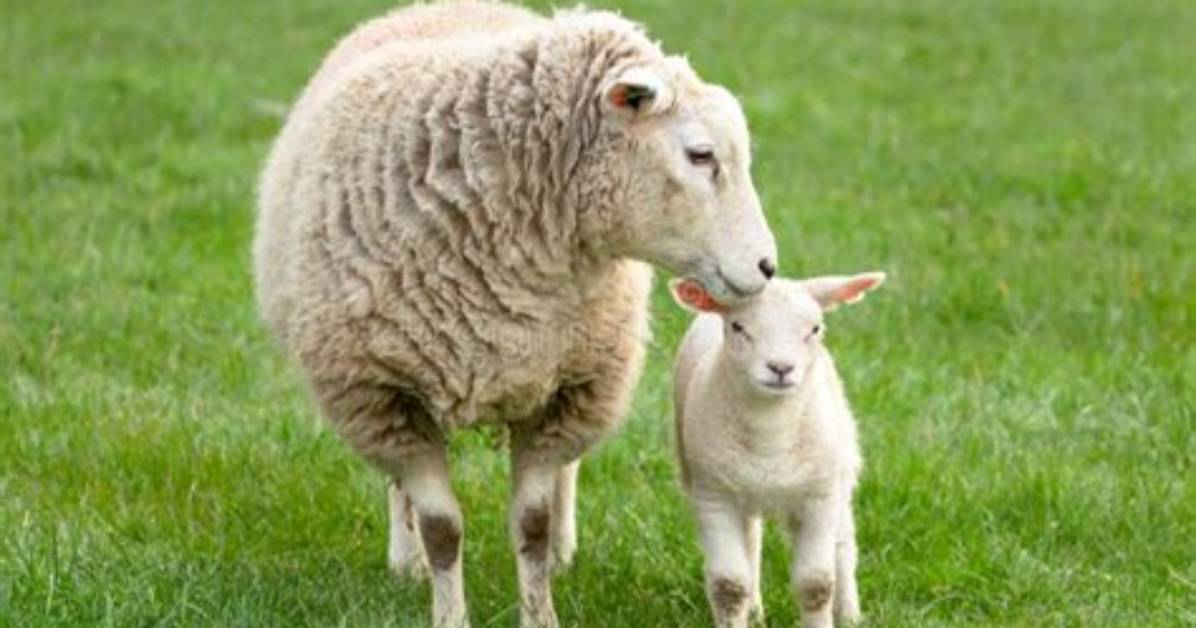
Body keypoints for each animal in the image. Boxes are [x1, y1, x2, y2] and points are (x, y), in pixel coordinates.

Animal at [252, 2, 778, 626]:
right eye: (700, 155)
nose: (768, 266)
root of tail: (440, 8)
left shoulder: (567, 392)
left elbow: (532, 523)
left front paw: (540, 610)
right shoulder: (383, 395)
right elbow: (441, 527)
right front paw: (449, 612)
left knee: (566, 475)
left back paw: (560, 555)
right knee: (399, 488)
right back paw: (407, 561)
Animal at [669, 272, 885, 628]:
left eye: (815, 329)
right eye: (737, 327)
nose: (780, 368)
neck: (770, 433)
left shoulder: (819, 495)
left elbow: (817, 584)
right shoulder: (714, 495)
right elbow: (729, 585)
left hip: (840, 469)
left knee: (843, 545)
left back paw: (850, 614)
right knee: (752, 544)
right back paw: (755, 611)